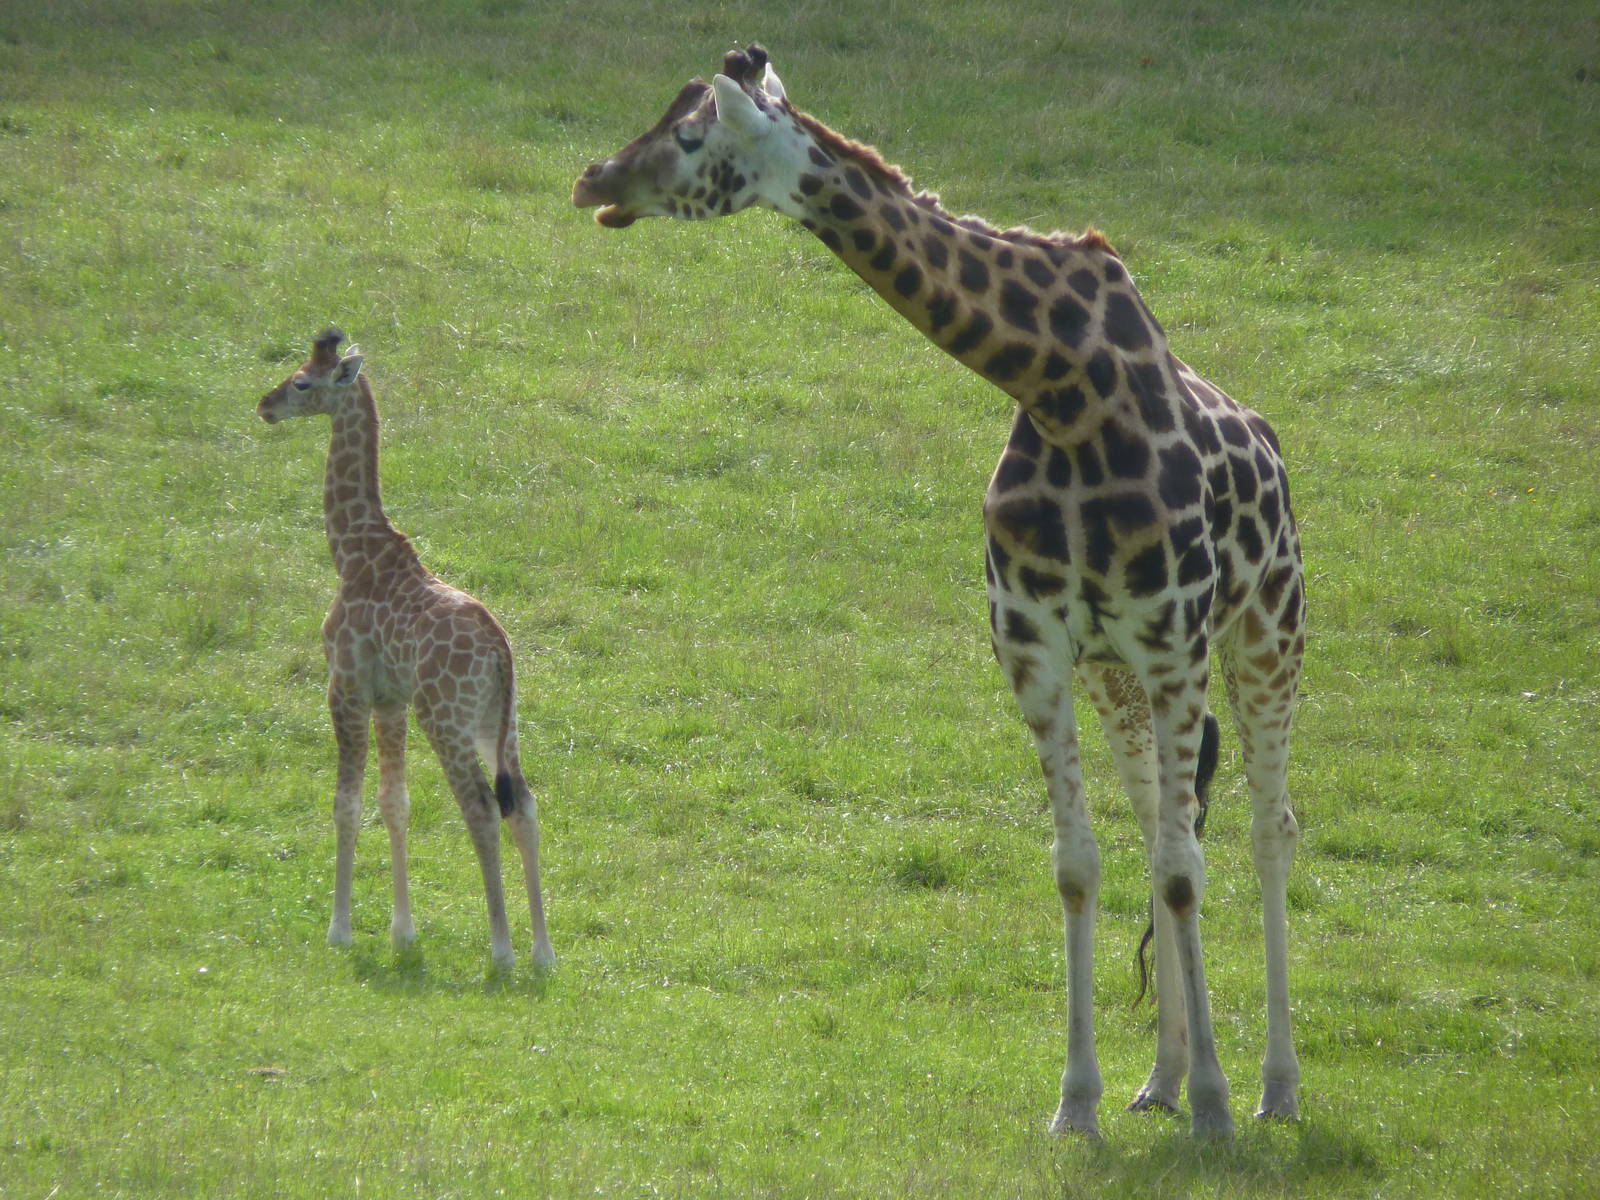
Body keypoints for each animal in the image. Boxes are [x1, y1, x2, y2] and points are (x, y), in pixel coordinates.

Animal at [257, 328, 554, 972]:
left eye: (302, 382)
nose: (264, 405)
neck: (351, 552)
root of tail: (501, 651)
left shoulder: (345, 685)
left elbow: (346, 802)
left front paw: (340, 930)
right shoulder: (389, 698)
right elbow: (395, 801)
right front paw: (402, 932)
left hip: (443, 716)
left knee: (482, 808)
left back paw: (502, 951)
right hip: (500, 721)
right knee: (524, 805)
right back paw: (542, 952)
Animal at [573, 46, 1304, 1137]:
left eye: (692, 134)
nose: (594, 180)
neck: (1064, 387)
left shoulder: (1174, 641)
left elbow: (1185, 873)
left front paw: (1216, 1108)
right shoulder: (1038, 649)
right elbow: (1083, 865)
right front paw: (1078, 1101)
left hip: (1264, 632)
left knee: (1262, 832)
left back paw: (1272, 1088)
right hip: (1119, 678)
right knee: (1157, 831)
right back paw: (1160, 1080)